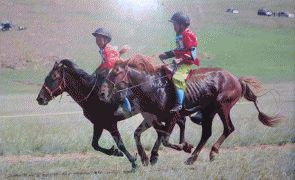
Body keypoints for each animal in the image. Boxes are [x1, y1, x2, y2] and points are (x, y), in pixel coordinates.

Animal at [35, 59, 188, 170]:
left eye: (53, 78)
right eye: (46, 77)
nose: (40, 99)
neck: (93, 95)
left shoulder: (110, 124)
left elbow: (120, 144)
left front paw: (133, 161)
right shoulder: (98, 124)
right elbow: (95, 144)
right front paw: (115, 152)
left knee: (169, 127)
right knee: (175, 124)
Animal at [99, 54, 284, 166]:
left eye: (116, 72)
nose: (102, 93)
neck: (152, 86)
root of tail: (237, 80)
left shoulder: (172, 117)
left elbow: (165, 138)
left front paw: (184, 146)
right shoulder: (152, 118)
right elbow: (141, 134)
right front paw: (147, 157)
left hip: (222, 107)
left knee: (228, 128)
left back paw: (210, 152)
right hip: (209, 111)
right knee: (207, 133)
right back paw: (193, 157)